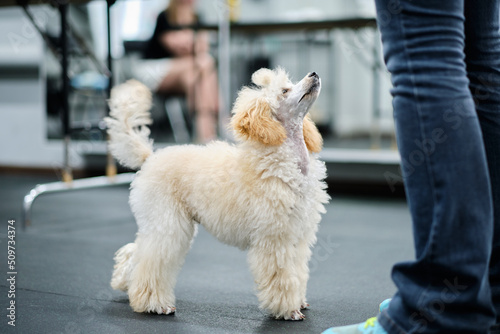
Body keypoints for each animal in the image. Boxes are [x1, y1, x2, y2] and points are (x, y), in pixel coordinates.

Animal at [106, 68, 328, 320]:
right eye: (285, 90)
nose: (314, 74)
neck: (284, 160)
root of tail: (150, 157)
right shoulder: (274, 238)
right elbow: (281, 277)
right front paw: (288, 310)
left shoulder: (298, 235)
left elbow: (297, 272)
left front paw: (298, 302)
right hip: (168, 222)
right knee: (152, 260)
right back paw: (154, 304)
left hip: (158, 222)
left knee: (136, 253)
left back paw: (124, 283)